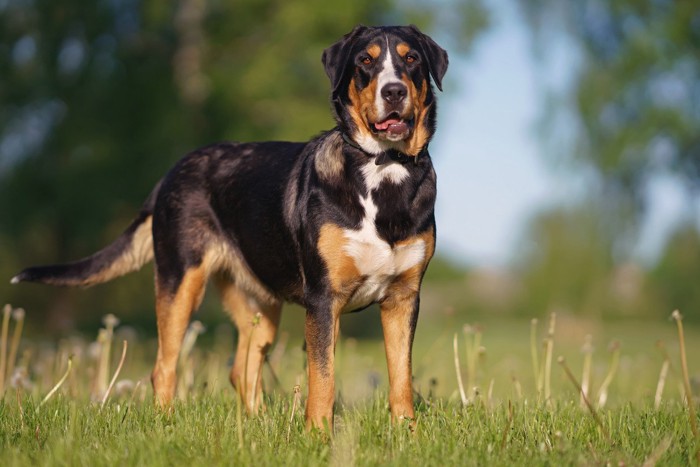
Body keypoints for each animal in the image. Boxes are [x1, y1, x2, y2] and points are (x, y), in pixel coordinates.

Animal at [13, 24, 452, 428]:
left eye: (411, 59)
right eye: (365, 61)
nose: (394, 91)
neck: (384, 173)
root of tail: (171, 172)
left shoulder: (403, 298)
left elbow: (401, 377)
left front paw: (406, 434)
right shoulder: (324, 299)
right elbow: (323, 380)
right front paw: (318, 437)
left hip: (261, 306)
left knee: (241, 371)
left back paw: (258, 424)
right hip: (180, 281)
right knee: (164, 368)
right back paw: (167, 425)